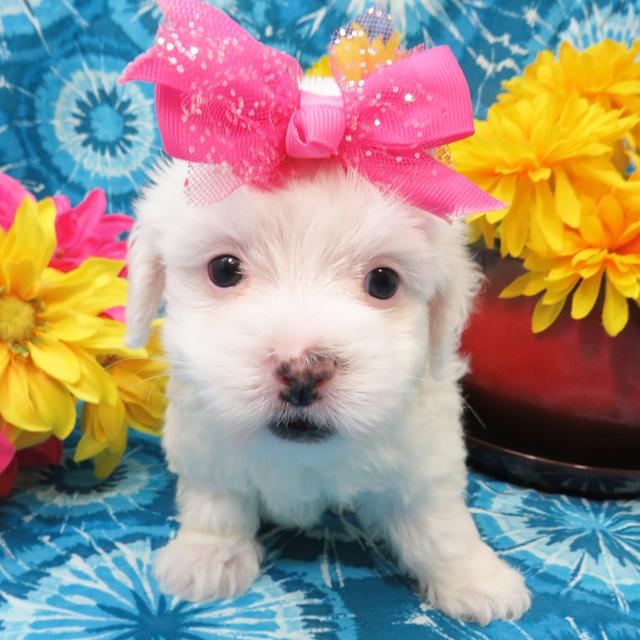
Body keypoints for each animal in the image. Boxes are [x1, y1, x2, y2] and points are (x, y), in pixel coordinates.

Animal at [125, 160, 528, 624]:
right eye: (224, 270)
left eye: (383, 281)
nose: (303, 372)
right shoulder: (204, 443)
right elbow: (216, 502)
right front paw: (207, 558)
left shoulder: (425, 455)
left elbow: (439, 523)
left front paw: (476, 580)